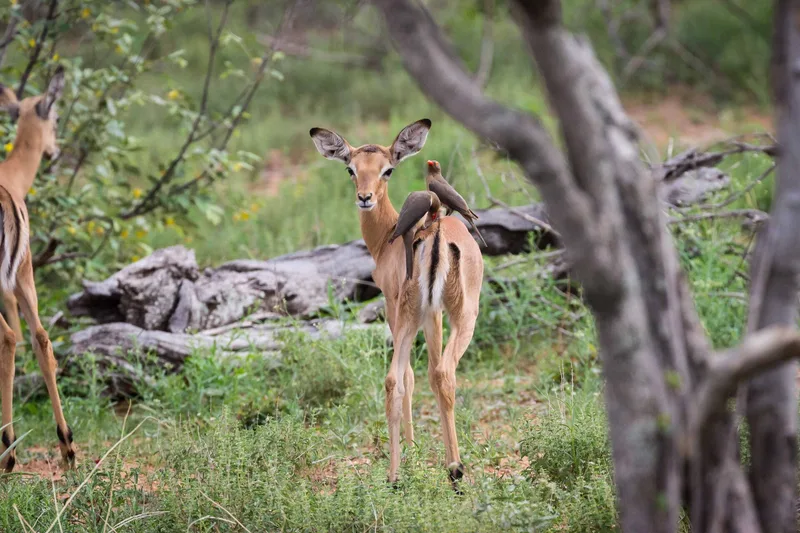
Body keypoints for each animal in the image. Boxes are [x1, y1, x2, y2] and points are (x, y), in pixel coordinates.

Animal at [310, 119, 484, 489]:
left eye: (387, 169)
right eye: (351, 168)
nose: (365, 197)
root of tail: (436, 236)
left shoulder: (396, 310)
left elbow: (409, 376)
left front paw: (413, 453)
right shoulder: (433, 316)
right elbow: (427, 374)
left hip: (413, 316)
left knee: (396, 379)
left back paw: (396, 476)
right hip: (459, 315)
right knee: (442, 373)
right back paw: (453, 469)